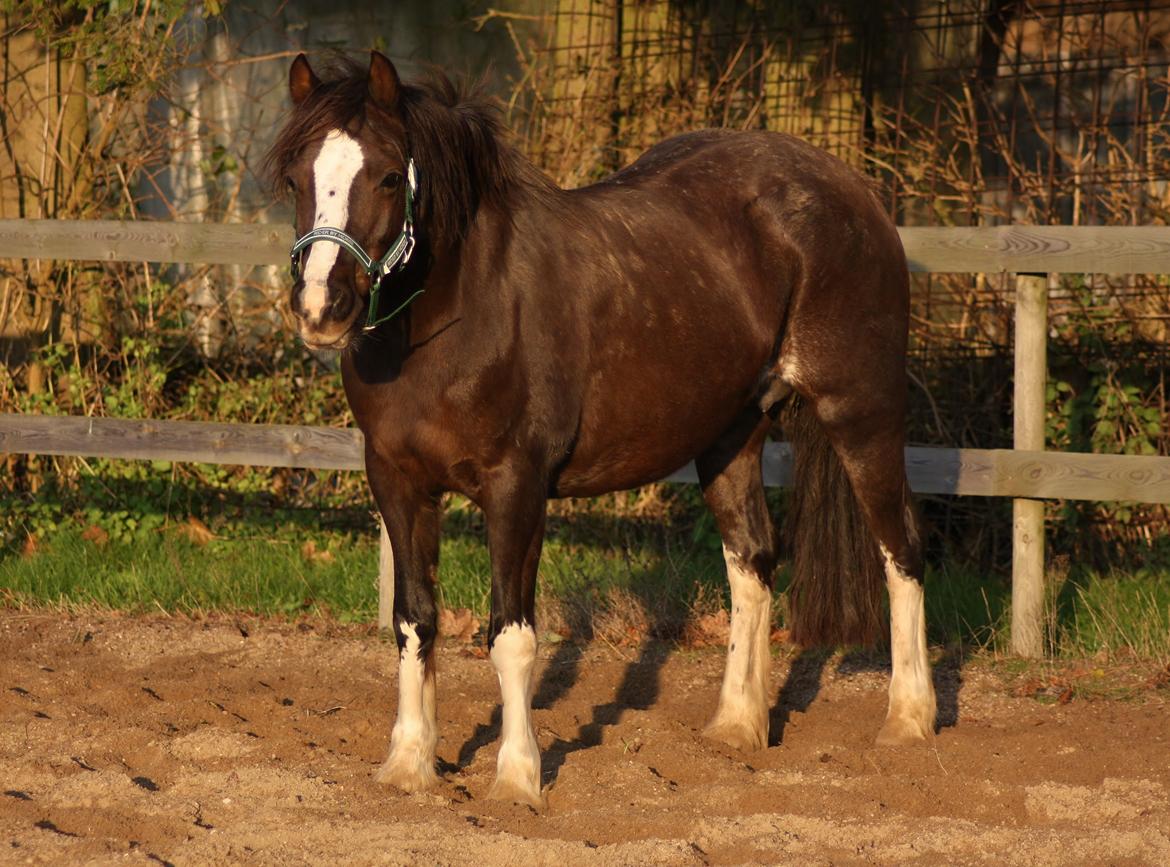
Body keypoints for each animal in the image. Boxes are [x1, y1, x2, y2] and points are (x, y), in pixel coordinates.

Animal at [267, 52, 940, 809]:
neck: (462, 316)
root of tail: (853, 189)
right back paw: (737, 726)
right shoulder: (398, 482)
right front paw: (409, 763)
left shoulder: (516, 488)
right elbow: (414, 619)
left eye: (387, 176)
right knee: (752, 562)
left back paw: (908, 720)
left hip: (863, 414)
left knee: (901, 549)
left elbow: (512, 635)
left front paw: (518, 777)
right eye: (295, 178)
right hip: (730, 436)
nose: (321, 308)